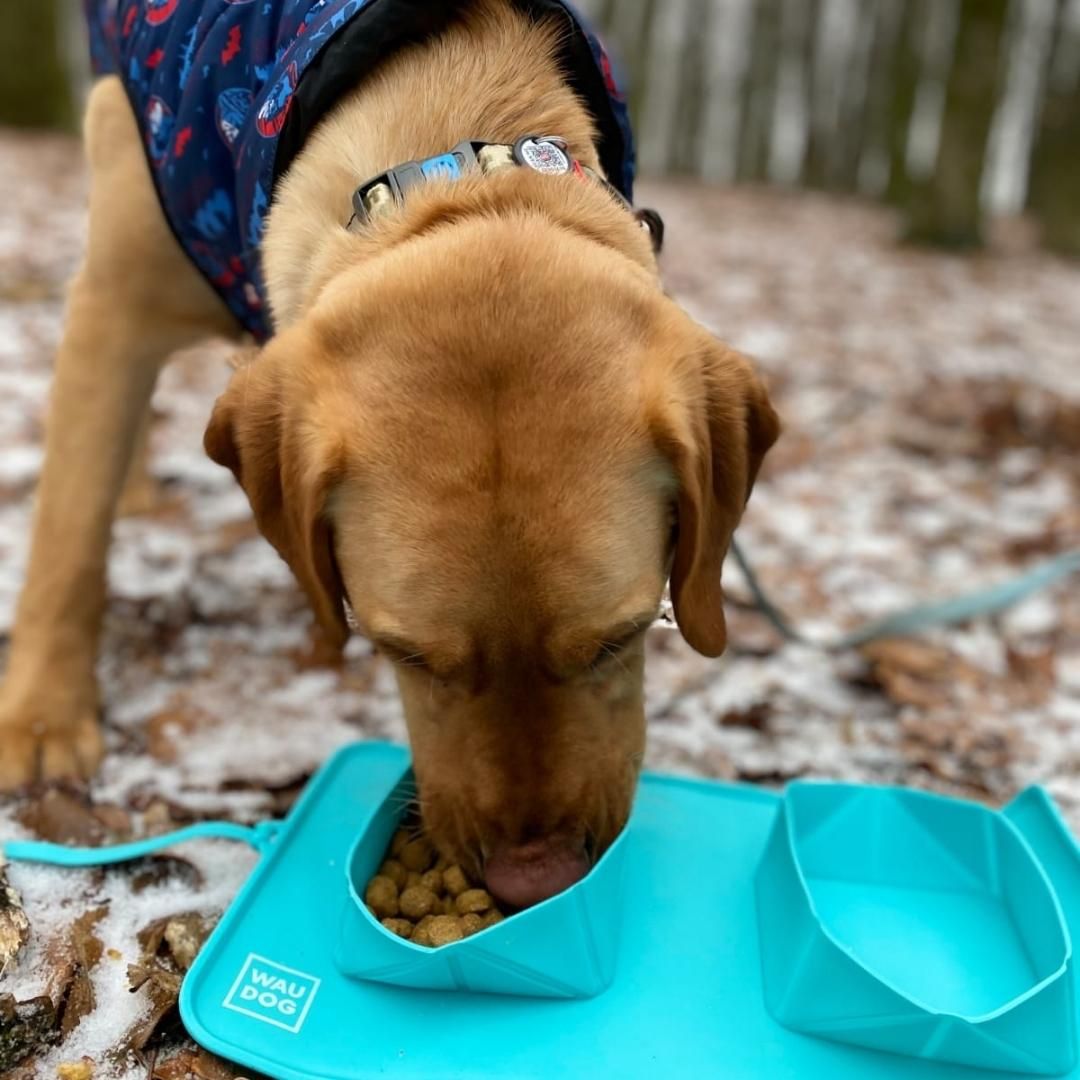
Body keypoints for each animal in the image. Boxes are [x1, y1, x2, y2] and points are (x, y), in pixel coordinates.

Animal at [0, 0, 781, 911]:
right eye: (404, 654)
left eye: (619, 640)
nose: (535, 882)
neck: (453, 148)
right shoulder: (116, 299)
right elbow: (68, 532)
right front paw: (43, 720)